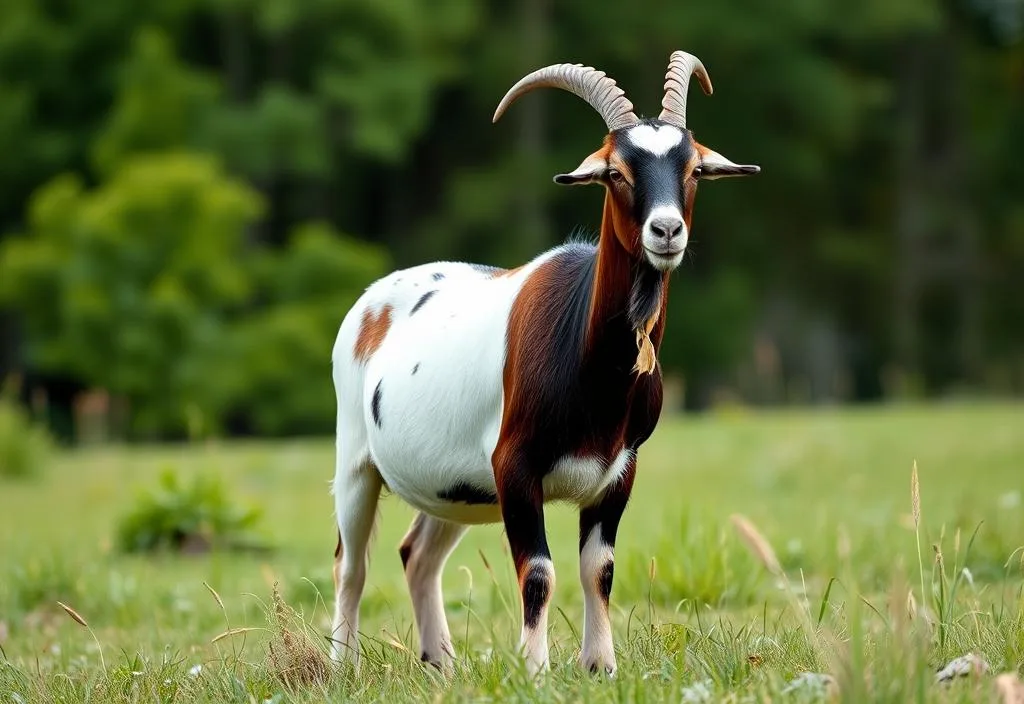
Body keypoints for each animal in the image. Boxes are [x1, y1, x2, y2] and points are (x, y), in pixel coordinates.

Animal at [329, 49, 761, 675]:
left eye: (693, 169)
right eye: (616, 171)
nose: (666, 231)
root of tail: (370, 303)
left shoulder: (619, 472)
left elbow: (598, 570)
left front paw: (600, 667)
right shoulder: (515, 469)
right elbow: (538, 573)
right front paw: (535, 671)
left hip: (453, 488)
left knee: (417, 555)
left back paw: (442, 666)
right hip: (356, 463)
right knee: (351, 564)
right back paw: (342, 667)